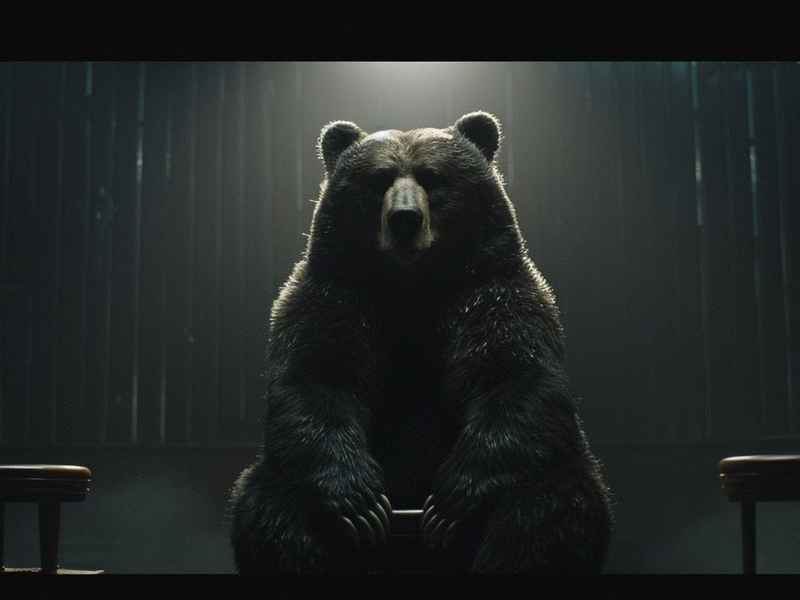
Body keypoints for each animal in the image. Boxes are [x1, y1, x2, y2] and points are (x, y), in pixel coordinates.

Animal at [228, 111, 613, 574]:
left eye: (433, 177)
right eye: (379, 180)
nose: (405, 218)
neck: (411, 287)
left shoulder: (491, 294)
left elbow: (511, 377)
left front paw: (449, 504)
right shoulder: (333, 297)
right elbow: (318, 380)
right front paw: (363, 505)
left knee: (549, 510)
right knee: (272, 513)